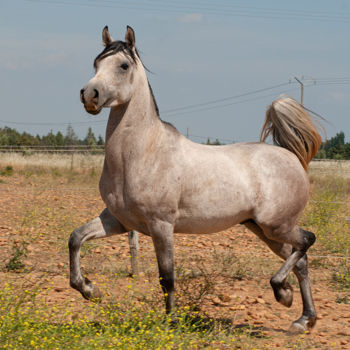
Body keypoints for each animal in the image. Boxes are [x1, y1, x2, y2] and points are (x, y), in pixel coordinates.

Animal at [69, 25, 322, 334]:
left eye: (123, 65)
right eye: (96, 62)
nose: (89, 95)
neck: (143, 153)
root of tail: (292, 157)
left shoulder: (161, 225)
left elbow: (167, 277)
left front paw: (171, 322)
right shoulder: (118, 220)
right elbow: (76, 238)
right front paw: (89, 290)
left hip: (276, 225)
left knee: (307, 241)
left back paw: (282, 294)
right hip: (264, 229)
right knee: (300, 260)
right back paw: (303, 318)